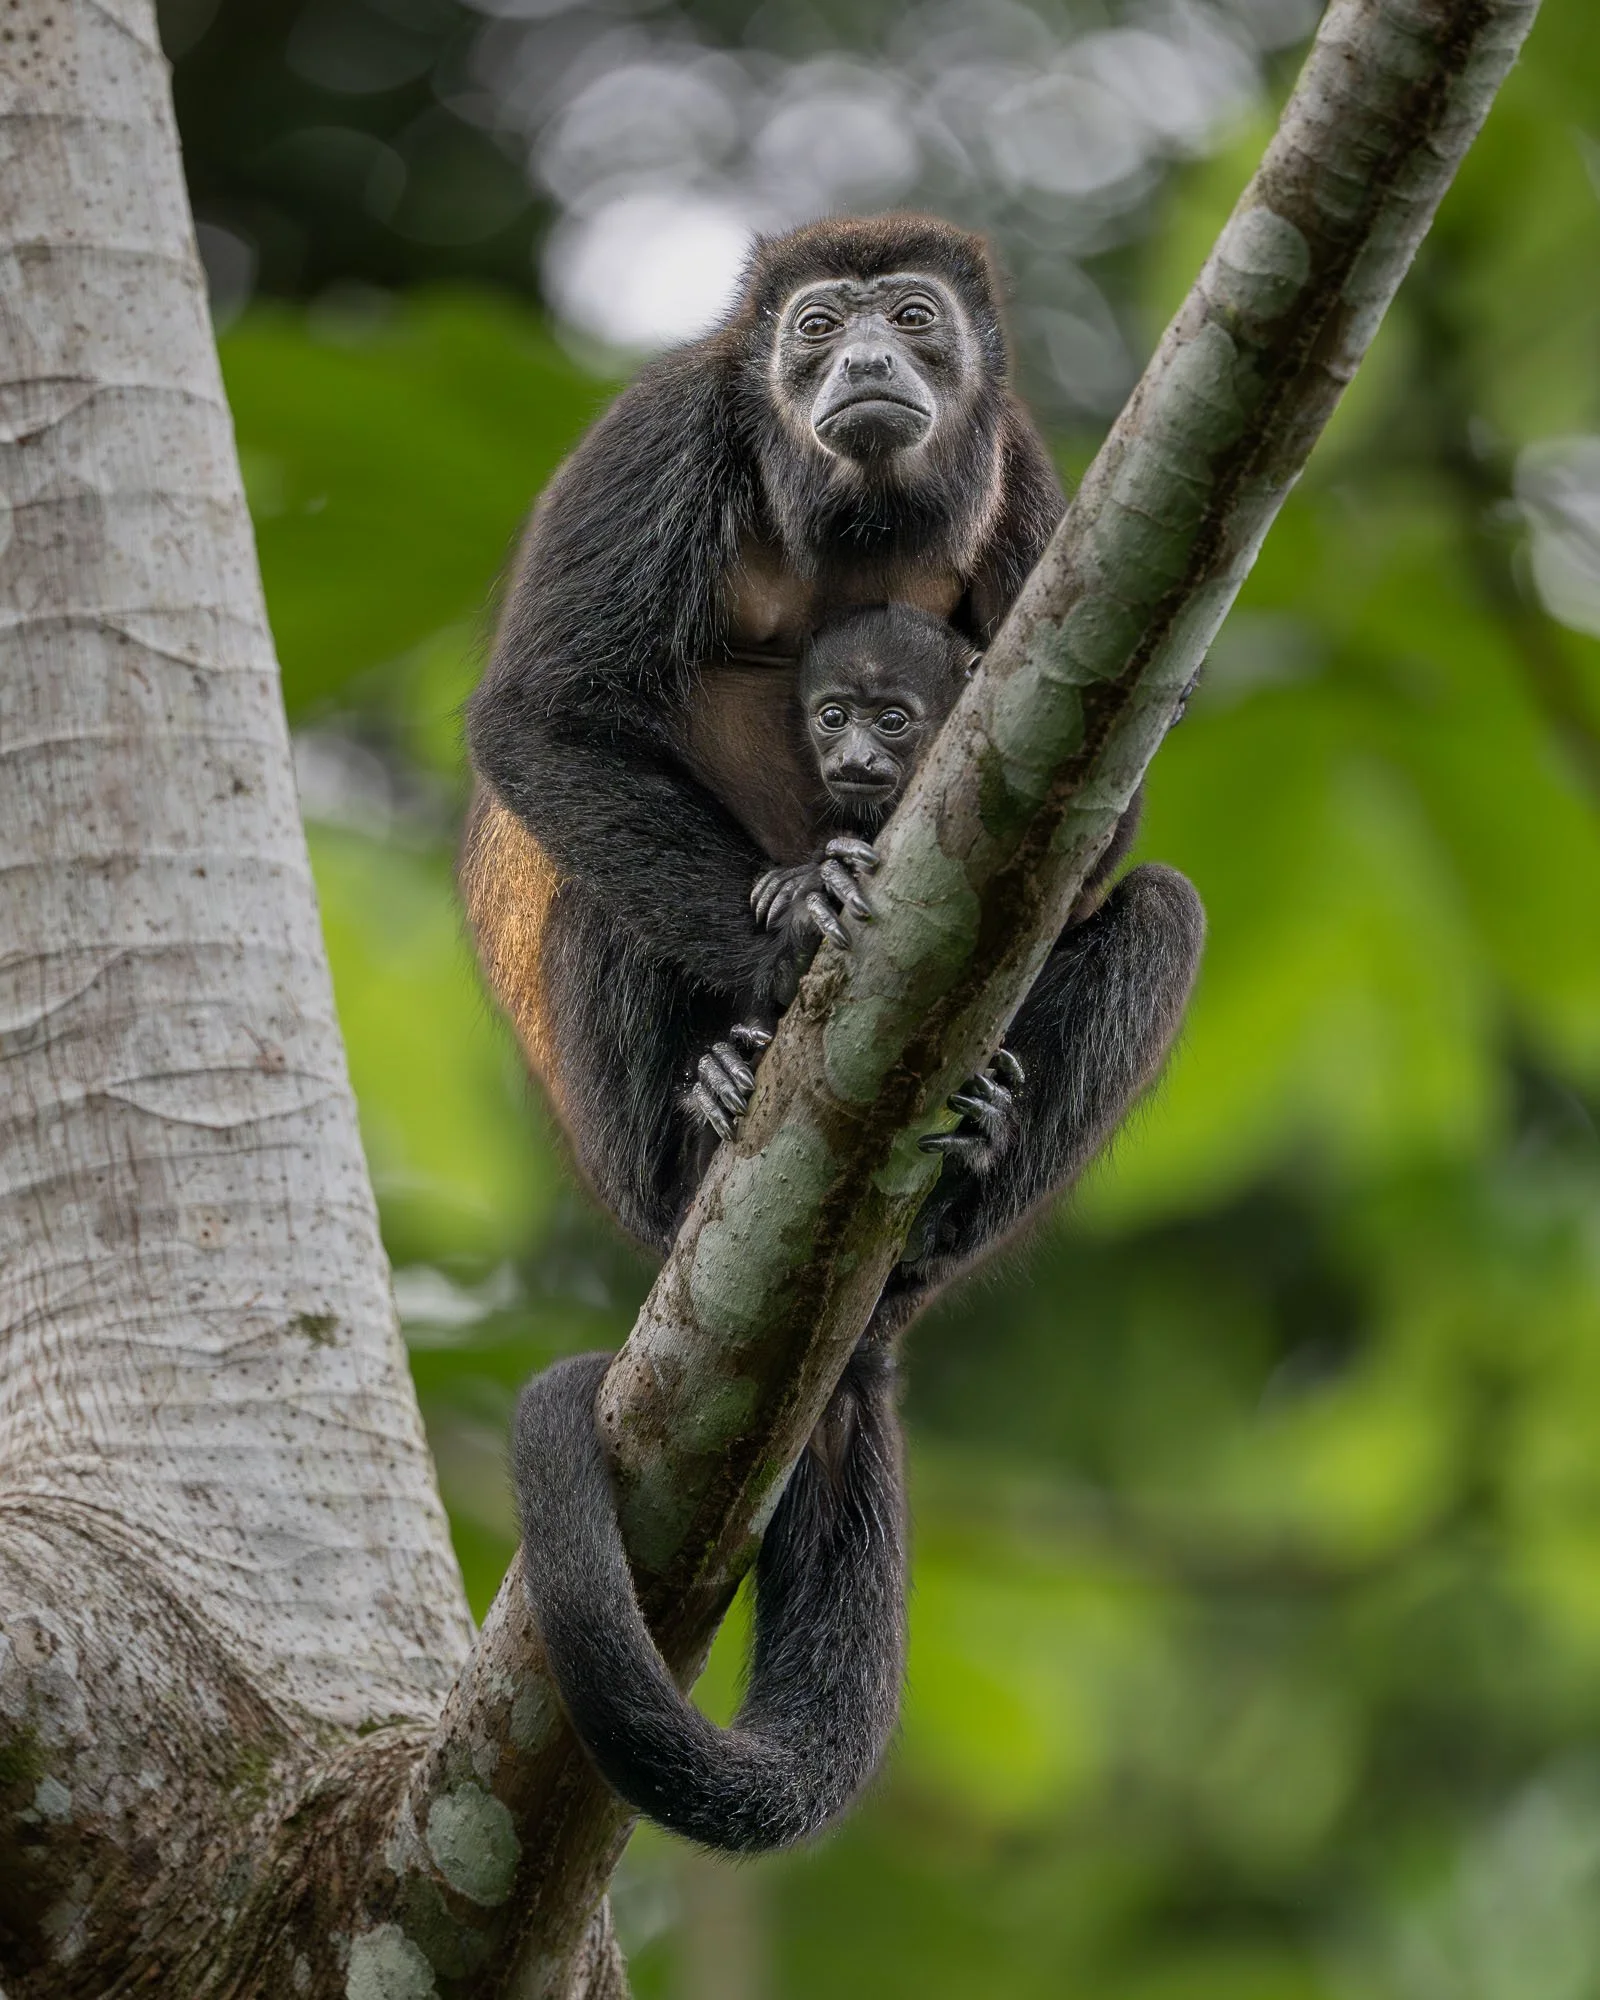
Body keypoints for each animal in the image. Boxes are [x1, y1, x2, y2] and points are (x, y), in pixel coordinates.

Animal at [465, 215, 1206, 1852]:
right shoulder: (662, 434)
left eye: (914, 320)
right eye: (815, 329)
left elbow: (1109, 817)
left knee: (1167, 912)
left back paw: (957, 1174)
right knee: (596, 902)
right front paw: (796, 918)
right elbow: (542, 719)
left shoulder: (1039, 492)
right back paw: (714, 1103)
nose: (864, 357)